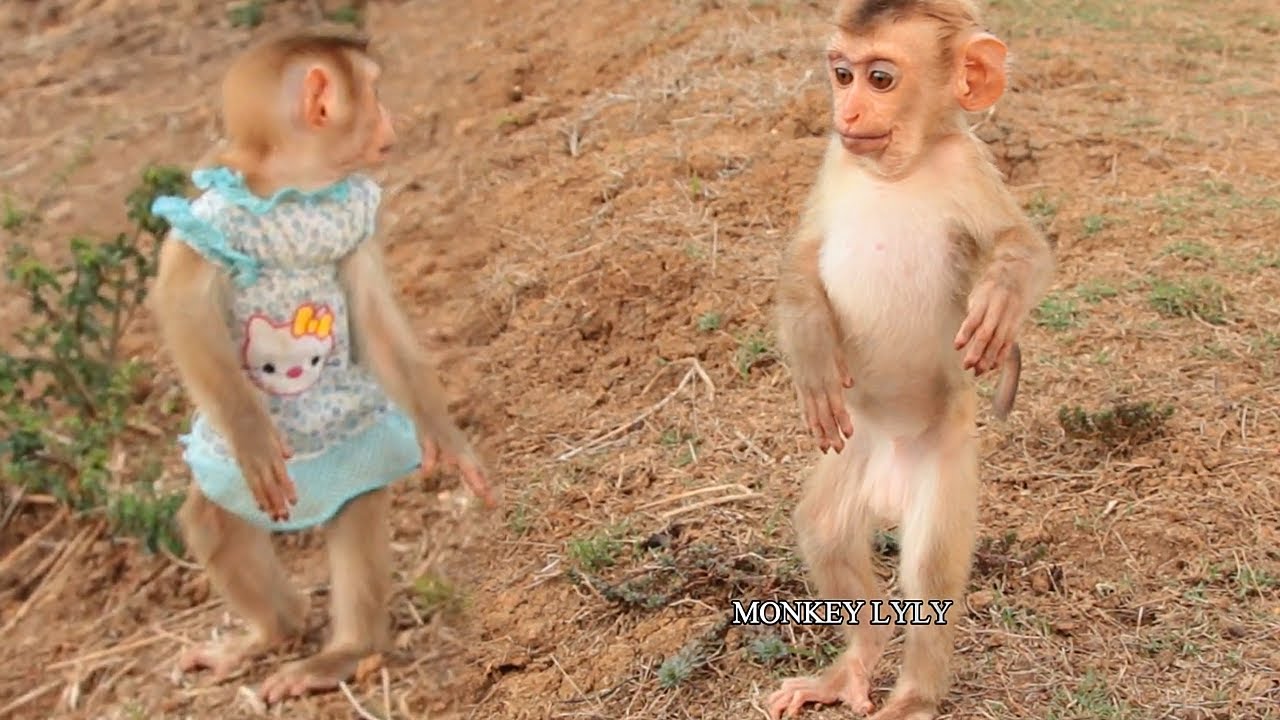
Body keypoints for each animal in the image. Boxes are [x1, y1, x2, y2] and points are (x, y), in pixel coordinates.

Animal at [146, 30, 497, 704]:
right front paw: (254, 434)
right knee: (215, 524)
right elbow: (182, 304)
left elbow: (375, 321)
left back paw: (343, 651)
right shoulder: (205, 220)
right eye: (375, 92)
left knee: (354, 513)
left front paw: (447, 440)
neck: (296, 188)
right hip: (226, 475)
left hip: (358, 454)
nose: (391, 119)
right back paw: (272, 633)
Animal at [767, 1, 1053, 719]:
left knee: (929, 572)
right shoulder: (833, 163)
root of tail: (891, 483)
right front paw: (813, 360)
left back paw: (914, 695)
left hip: (941, 468)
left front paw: (998, 301)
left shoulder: (967, 166)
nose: (847, 111)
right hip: (856, 454)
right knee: (826, 529)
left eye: (881, 79)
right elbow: (801, 261)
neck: (897, 171)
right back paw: (854, 663)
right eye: (841, 74)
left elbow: (1022, 244)